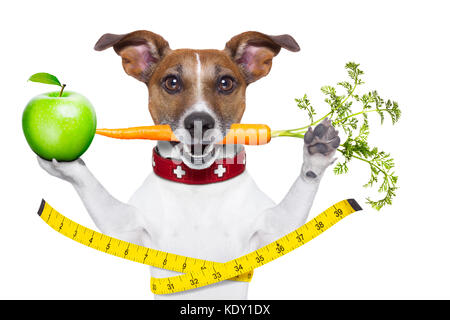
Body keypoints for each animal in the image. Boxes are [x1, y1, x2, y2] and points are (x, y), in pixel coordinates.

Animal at [38, 30, 340, 300]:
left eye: (225, 83)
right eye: (172, 82)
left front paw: (317, 152)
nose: (199, 121)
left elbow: (297, 198)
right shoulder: (126, 228)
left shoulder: (273, 229)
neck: (198, 186)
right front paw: (69, 165)